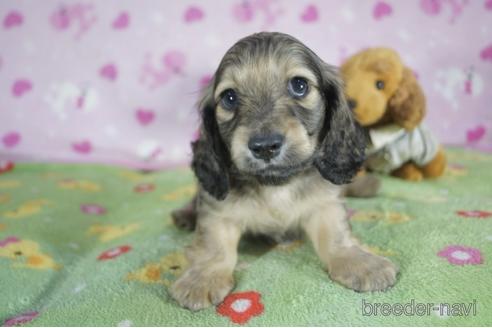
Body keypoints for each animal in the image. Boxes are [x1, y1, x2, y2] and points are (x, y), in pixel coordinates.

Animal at [171, 32, 398, 310]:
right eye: (229, 97)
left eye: (299, 85)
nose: (265, 146)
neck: (276, 184)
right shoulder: (217, 211)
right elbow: (214, 246)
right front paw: (202, 278)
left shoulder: (326, 204)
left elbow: (337, 237)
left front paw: (361, 262)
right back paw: (184, 214)